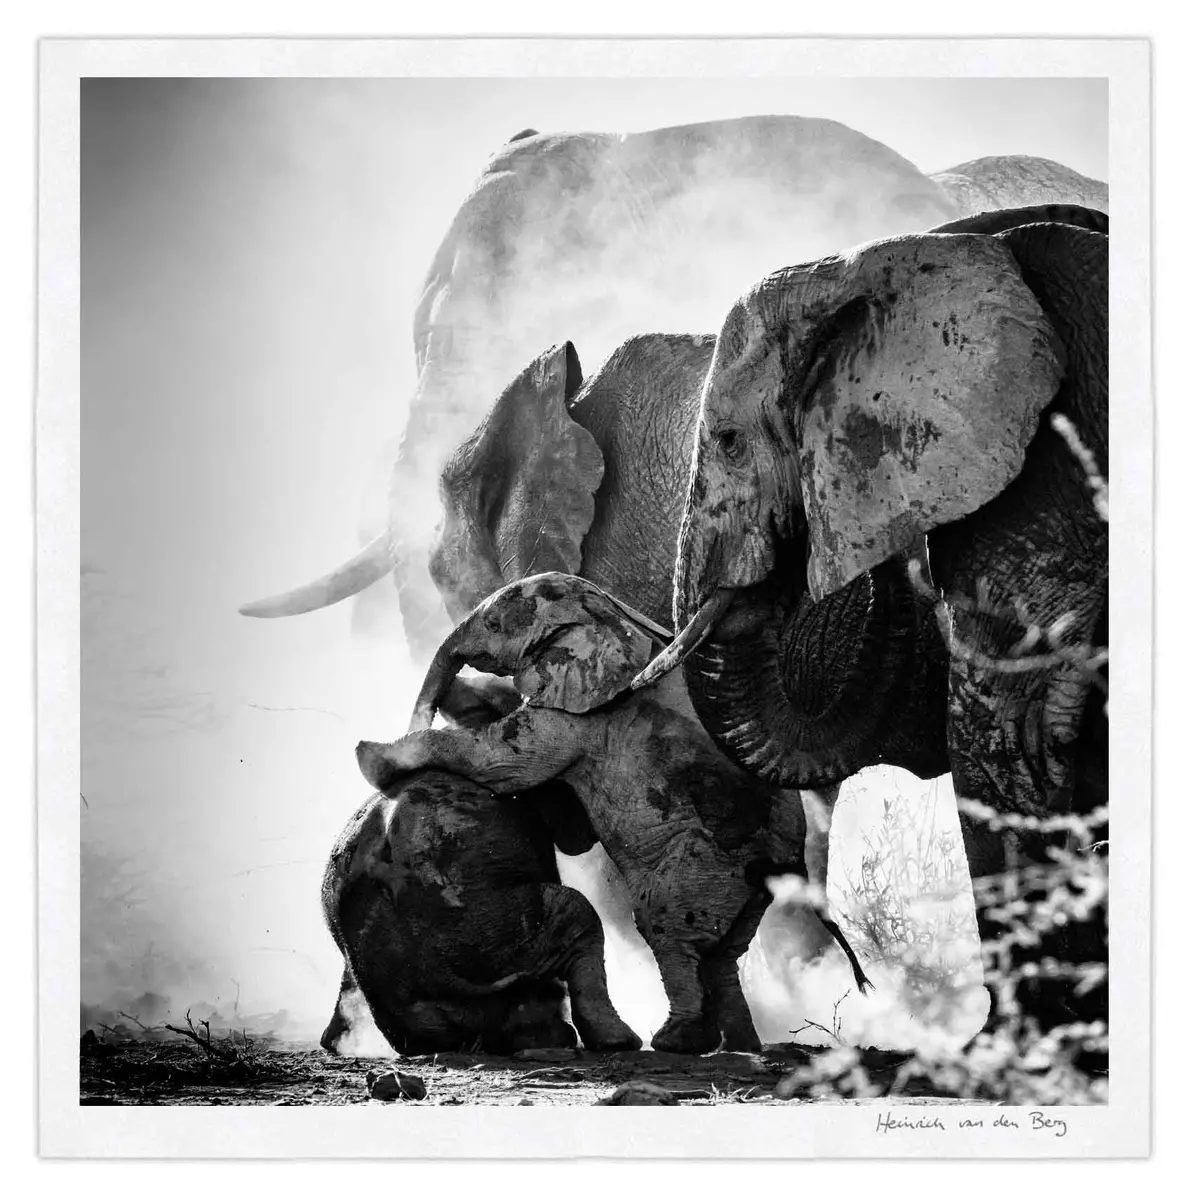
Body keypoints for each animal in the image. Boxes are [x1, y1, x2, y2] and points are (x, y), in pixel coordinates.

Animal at [358, 572, 871, 1055]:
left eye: (495, 624)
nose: (419, 709)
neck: (605, 611)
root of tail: (785, 864)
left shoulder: (577, 716)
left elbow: (503, 762)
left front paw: (373, 756)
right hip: (739, 886)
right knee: (724, 952)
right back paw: (739, 1043)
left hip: (699, 861)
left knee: (667, 926)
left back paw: (675, 1041)